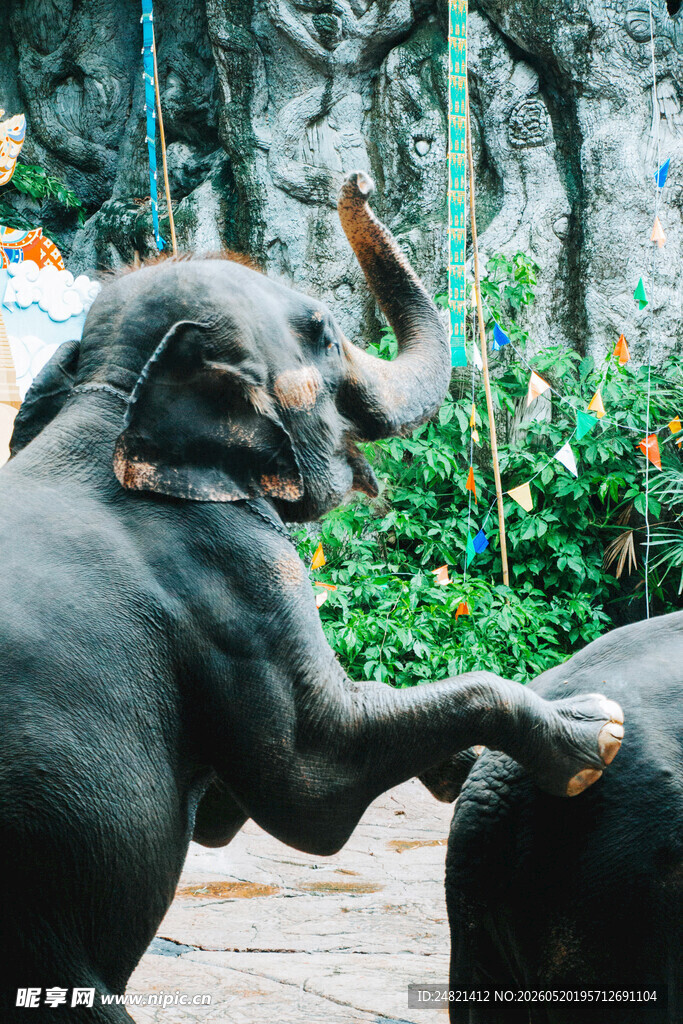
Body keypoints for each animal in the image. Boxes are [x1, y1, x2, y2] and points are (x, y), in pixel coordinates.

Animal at [0, 172, 624, 1021]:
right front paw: (594, 731)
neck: (108, 404)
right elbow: (314, 784)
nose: (355, 183)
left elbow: (231, 811)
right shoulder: (235, 572)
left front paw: (462, 767)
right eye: (324, 331)